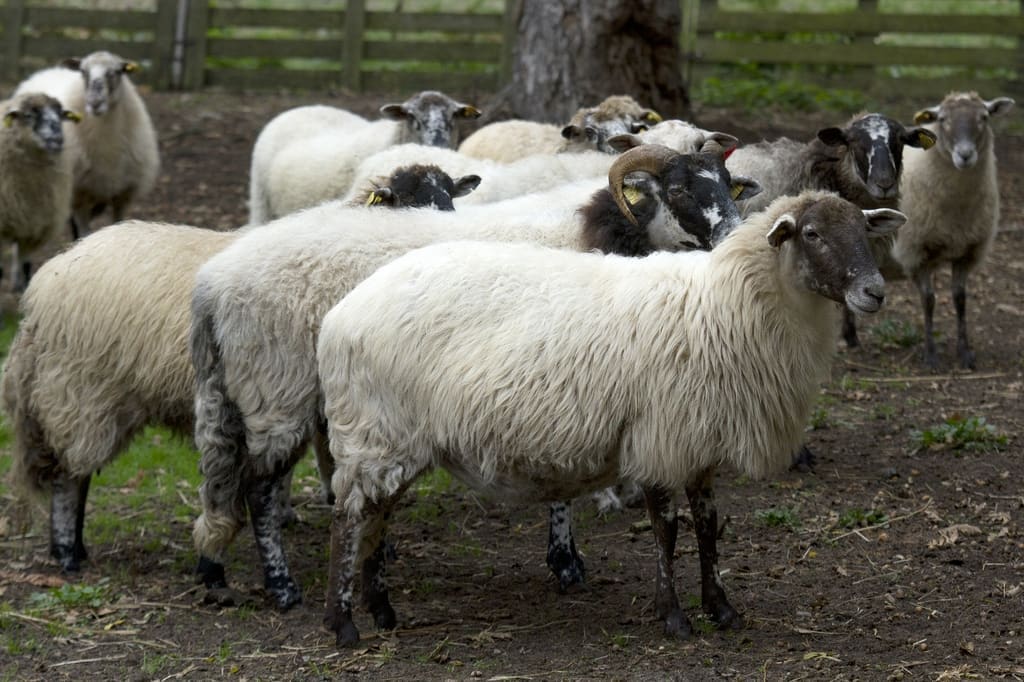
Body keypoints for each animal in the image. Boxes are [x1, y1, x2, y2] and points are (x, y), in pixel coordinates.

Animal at [0, 164, 480, 574]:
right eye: (408, 202)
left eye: (449, 199)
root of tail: (45, 282)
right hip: (83, 388)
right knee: (71, 475)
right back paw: (68, 553)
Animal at [16, 52, 161, 238]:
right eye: (83, 71)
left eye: (116, 71)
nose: (95, 101)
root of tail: (46, 71)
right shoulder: (79, 197)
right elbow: (84, 234)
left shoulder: (122, 196)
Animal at [189, 145, 762, 610]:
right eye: (680, 188)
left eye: (727, 182)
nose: (734, 236)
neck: (596, 234)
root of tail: (212, 283)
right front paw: (565, 562)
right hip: (277, 388)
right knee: (260, 486)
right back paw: (283, 587)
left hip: (251, 391)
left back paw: (218, 571)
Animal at [317, 191, 905, 646]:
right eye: (812, 233)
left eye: (863, 228)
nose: (874, 292)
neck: (726, 305)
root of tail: (340, 313)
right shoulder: (660, 435)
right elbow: (666, 528)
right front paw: (674, 617)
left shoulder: (699, 442)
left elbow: (709, 525)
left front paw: (722, 608)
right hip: (374, 431)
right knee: (348, 519)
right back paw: (342, 624)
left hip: (394, 438)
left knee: (377, 517)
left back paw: (383, 613)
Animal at [880, 92, 1014, 369]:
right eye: (942, 119)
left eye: (984, 117)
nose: (965, 155)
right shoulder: (916, 252)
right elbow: (929, 301)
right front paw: (931, 355)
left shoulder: (967, 252)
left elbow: (960, 299)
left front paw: (965, 353)